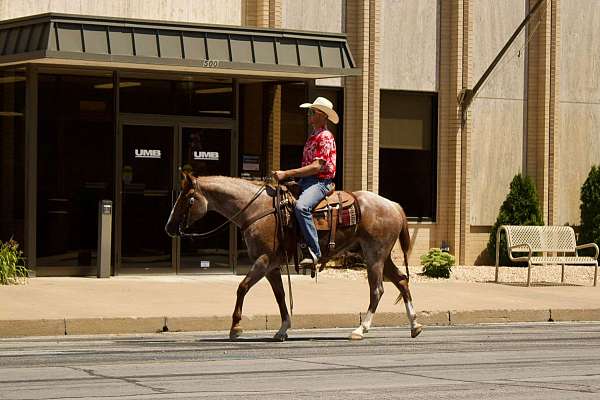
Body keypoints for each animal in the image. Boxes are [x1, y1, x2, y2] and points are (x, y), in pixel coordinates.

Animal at [166, 173, 424, 340]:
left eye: (187, 199)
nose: (169, 228)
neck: (257, 210)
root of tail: (394, 205)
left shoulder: (264, 260)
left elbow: (242, 287)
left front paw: (235, 327)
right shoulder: (272, 266)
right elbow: (280, 296)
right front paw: (282, 329)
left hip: (375, 255)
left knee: (377, 289)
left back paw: (361, 329)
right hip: (380, 255)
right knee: (401, 281)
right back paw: (415, 325)